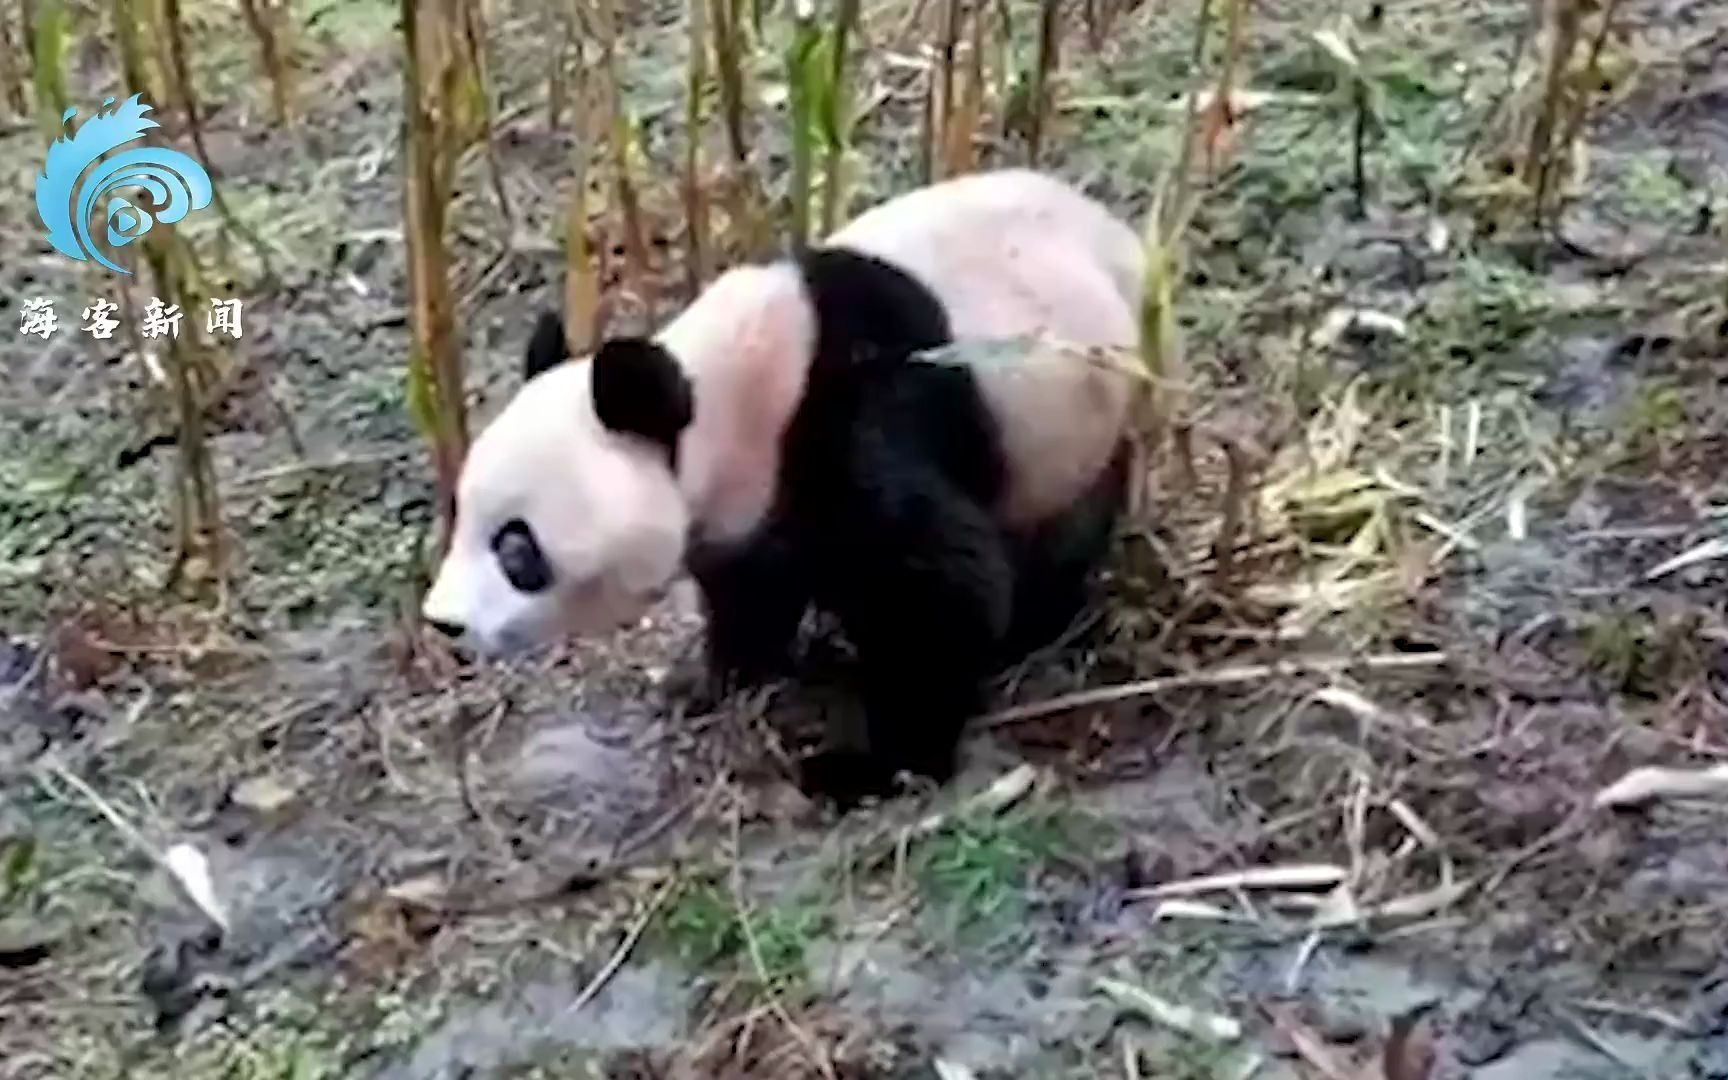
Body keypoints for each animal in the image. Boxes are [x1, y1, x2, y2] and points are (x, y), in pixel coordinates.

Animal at [419, 166, 1147, 808]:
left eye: (517, 548)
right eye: (460, 516)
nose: (444, 623)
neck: (724, 392)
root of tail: (1121, 238)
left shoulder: (857, 420)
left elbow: (941, 592)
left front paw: (871, 766)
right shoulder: (752, 501)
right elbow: (753, 587)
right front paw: (710, 681)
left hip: (1065, 423)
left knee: (1059, 536)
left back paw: (1031, 628)